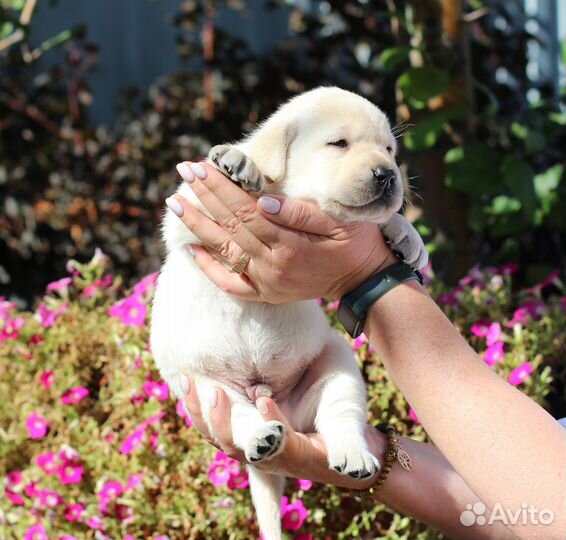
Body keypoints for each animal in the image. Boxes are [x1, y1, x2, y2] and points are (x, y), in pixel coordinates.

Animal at [151, 86, 426, 536]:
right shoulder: (186, 217)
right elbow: (200, 200)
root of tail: (274, 402)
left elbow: (380, 221)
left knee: (340, 415)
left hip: (336, 364)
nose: (389, 175)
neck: (294, 196)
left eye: (389, 149)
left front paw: (408, 235)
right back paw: (261, 436)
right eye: (339, 143)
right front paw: (238, 161)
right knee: (241, 416)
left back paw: (351, 452)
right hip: (208, 387)